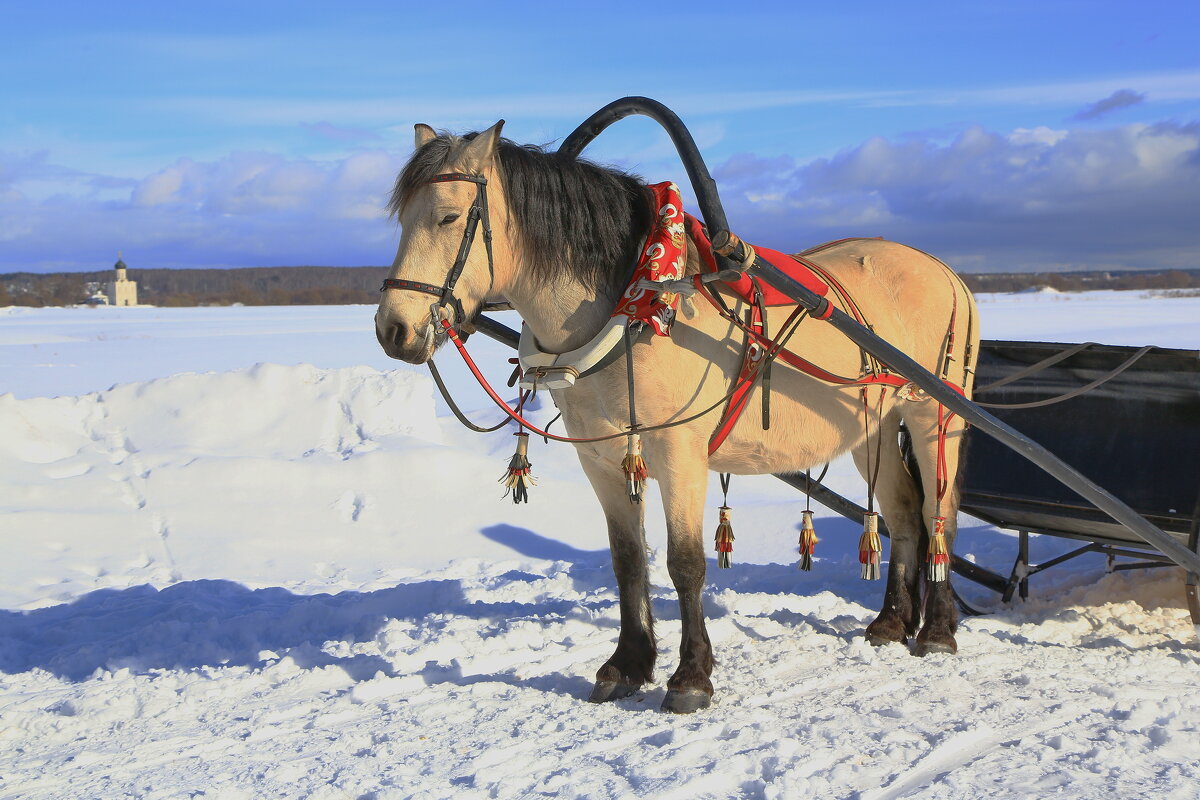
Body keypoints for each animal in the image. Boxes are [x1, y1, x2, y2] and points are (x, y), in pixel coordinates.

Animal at [376, 120, 984, 714]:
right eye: (401, 219)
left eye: (449, 216)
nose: (392, 330)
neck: (637, 298)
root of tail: (947, 272)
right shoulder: (603, 458)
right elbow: (627, 561)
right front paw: (627, 663)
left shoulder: (678, 453)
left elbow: (686, 562)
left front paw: (691, 676)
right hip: (871, 430)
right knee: (903, 515)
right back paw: (891, 622)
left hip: (935, 416)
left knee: (939, 514)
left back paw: (937, 630)